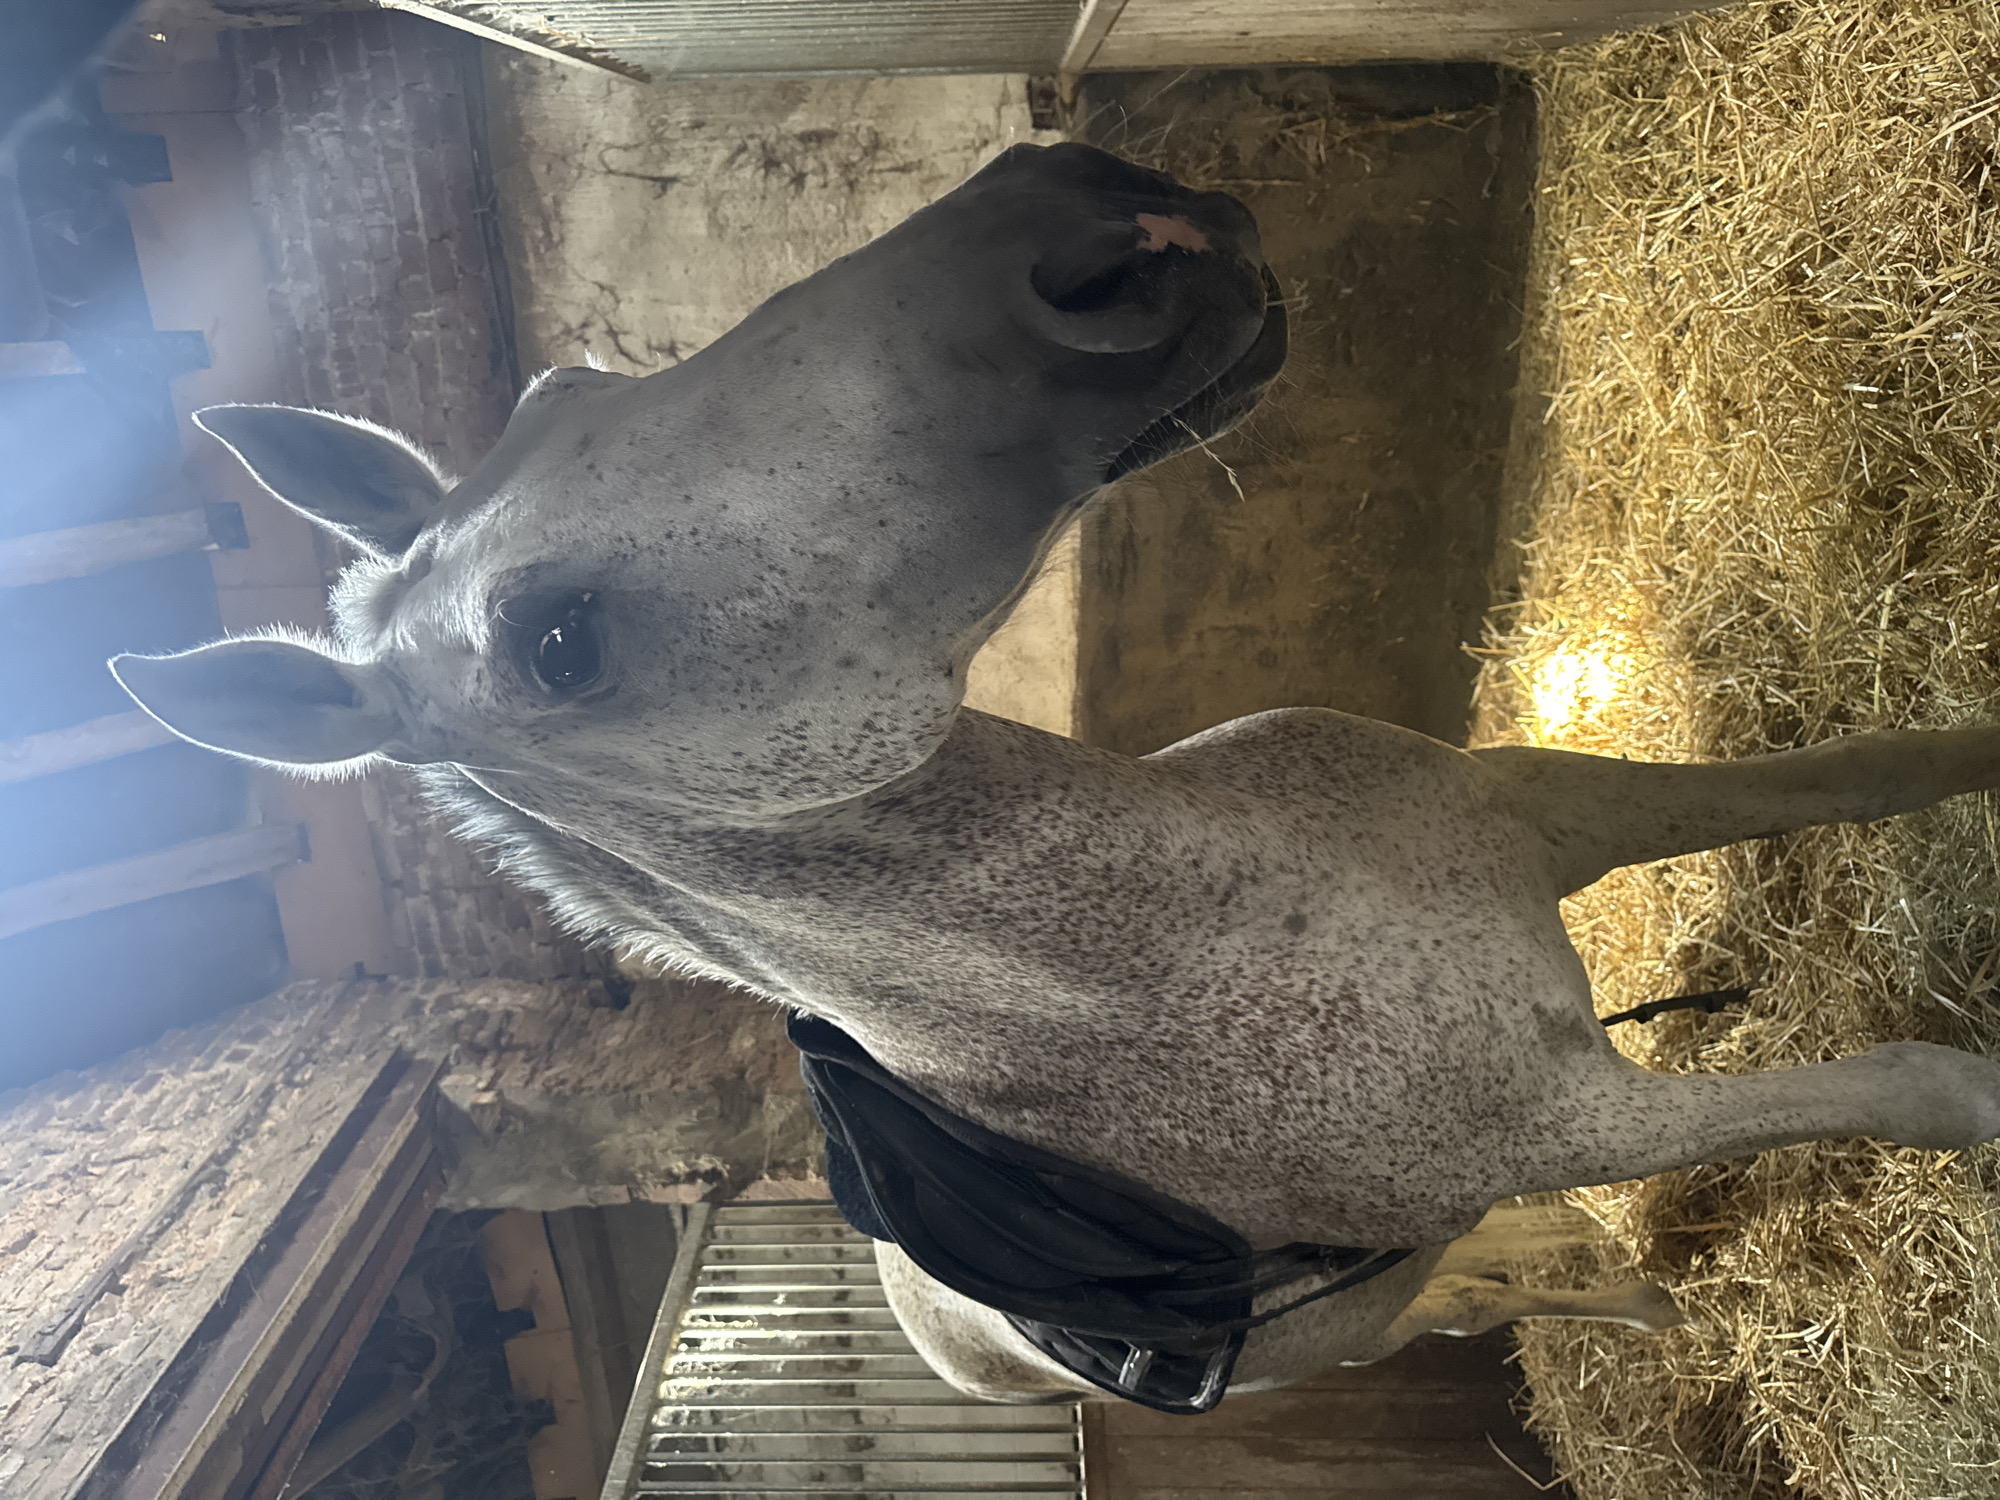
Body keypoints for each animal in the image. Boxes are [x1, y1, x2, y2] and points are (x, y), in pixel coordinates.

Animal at [110, 143, 2000, 1406]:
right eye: (558, 642)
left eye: (569, 383)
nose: (1098, 230)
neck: (1192, 938)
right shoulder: (1571, 1115)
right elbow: (1919, 1089)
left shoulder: (1548, 808)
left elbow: (1862, 768)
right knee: (1463, 1304)